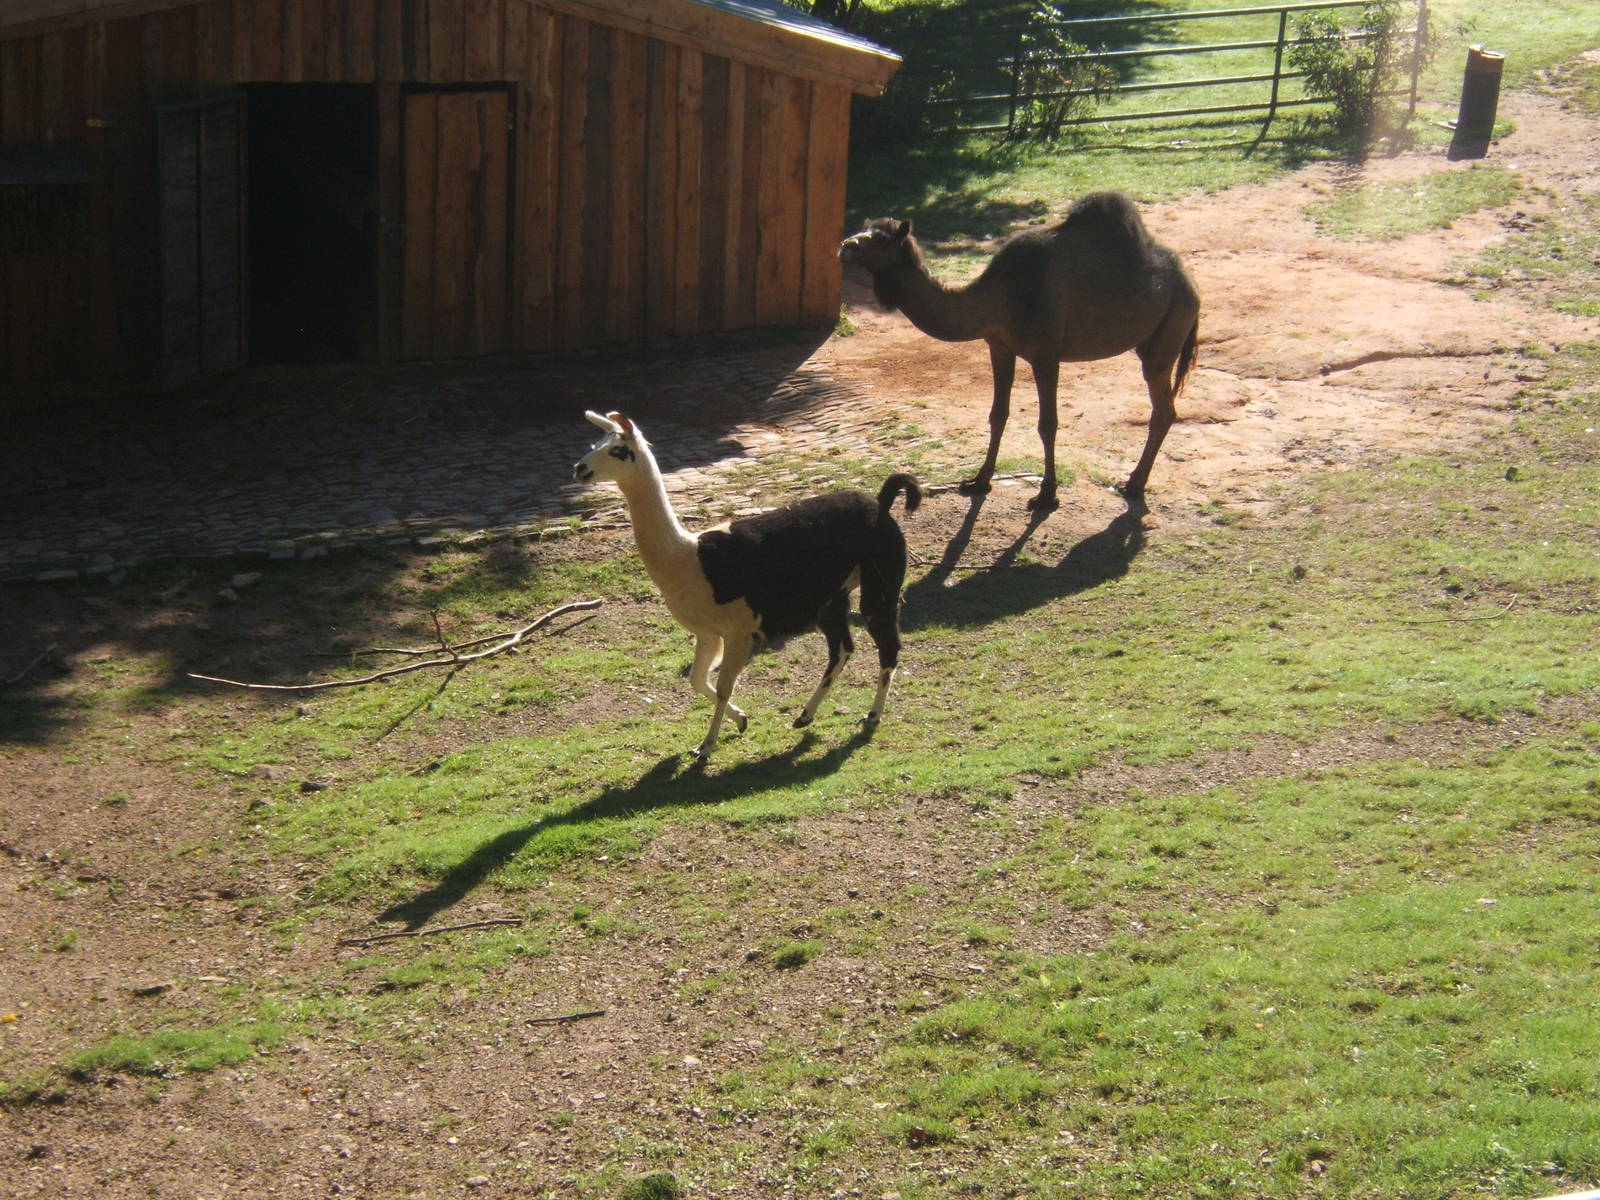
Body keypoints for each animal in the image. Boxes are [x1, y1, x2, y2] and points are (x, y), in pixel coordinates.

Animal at [839, 191, 1200, 510]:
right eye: (863, 228)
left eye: (881, 240)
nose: (846, 246)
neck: (997, 297)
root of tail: (1190, 284)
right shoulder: (999, 346)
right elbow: (998, 414)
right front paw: (979, 480)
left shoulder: (1046, 354)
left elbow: (1047, 424)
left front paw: (1046, 495)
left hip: (1170, 329)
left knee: (1162, 406)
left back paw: (1134, 484)